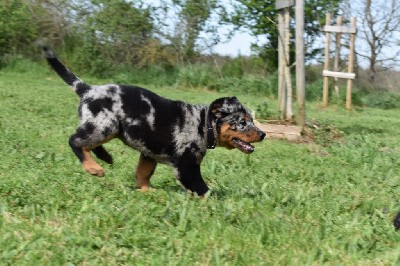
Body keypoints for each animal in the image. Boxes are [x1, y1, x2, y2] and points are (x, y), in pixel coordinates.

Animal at [43, 46, 266, 195]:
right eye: (242, 122)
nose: (263, 134)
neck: (202, 125)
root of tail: (88, 89)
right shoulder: (186, 165)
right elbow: (203, 189)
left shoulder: (148, 154)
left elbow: (142, 174)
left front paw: (149, 192)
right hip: (104, 126)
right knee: (75, 140)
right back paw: (94, 168)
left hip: (107, 128)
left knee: (88, 143)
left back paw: (106, 157)